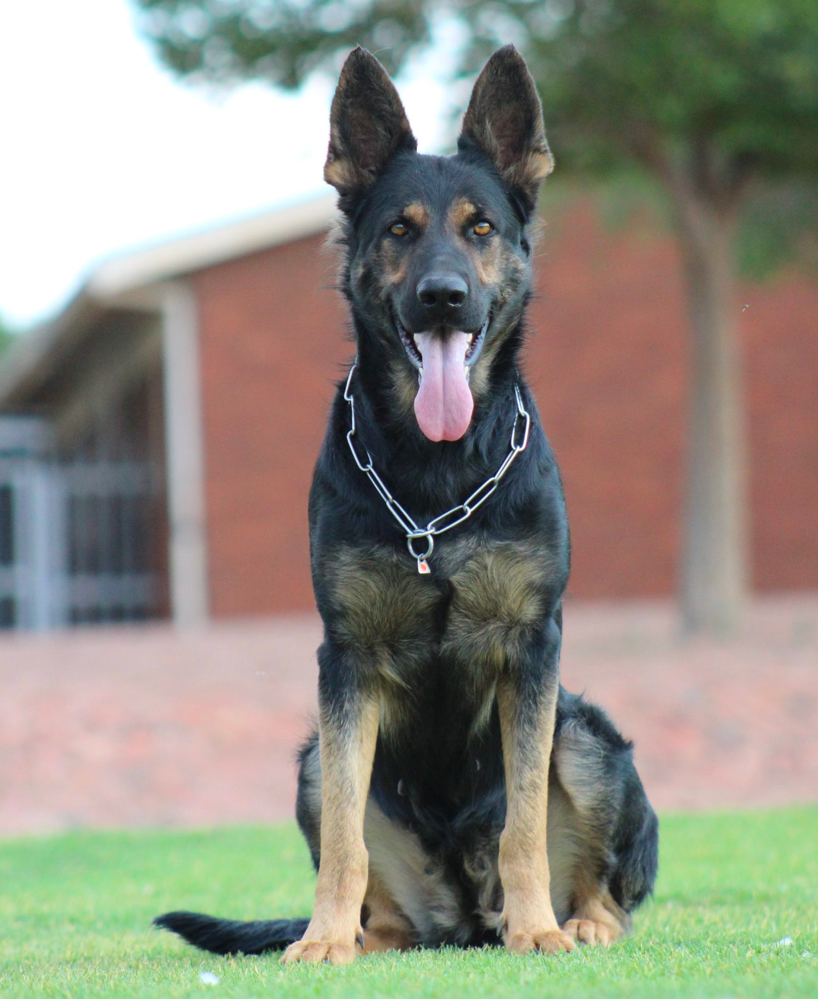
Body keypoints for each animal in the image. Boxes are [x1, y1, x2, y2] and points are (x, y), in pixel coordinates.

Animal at [157, 45, 664, 960]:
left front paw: (539, 932)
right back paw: (362, 938)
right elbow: (344, 842)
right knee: (373, 881)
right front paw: (322, 939)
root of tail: (462, 920)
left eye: (479, 228)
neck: (437, 476)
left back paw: (572, 923)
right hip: (312, 760)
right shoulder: (346, 660)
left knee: (604, 884)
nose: (441, 297)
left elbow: (524, 826)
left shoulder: (532, 647)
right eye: (399, 229)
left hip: (585, 735)